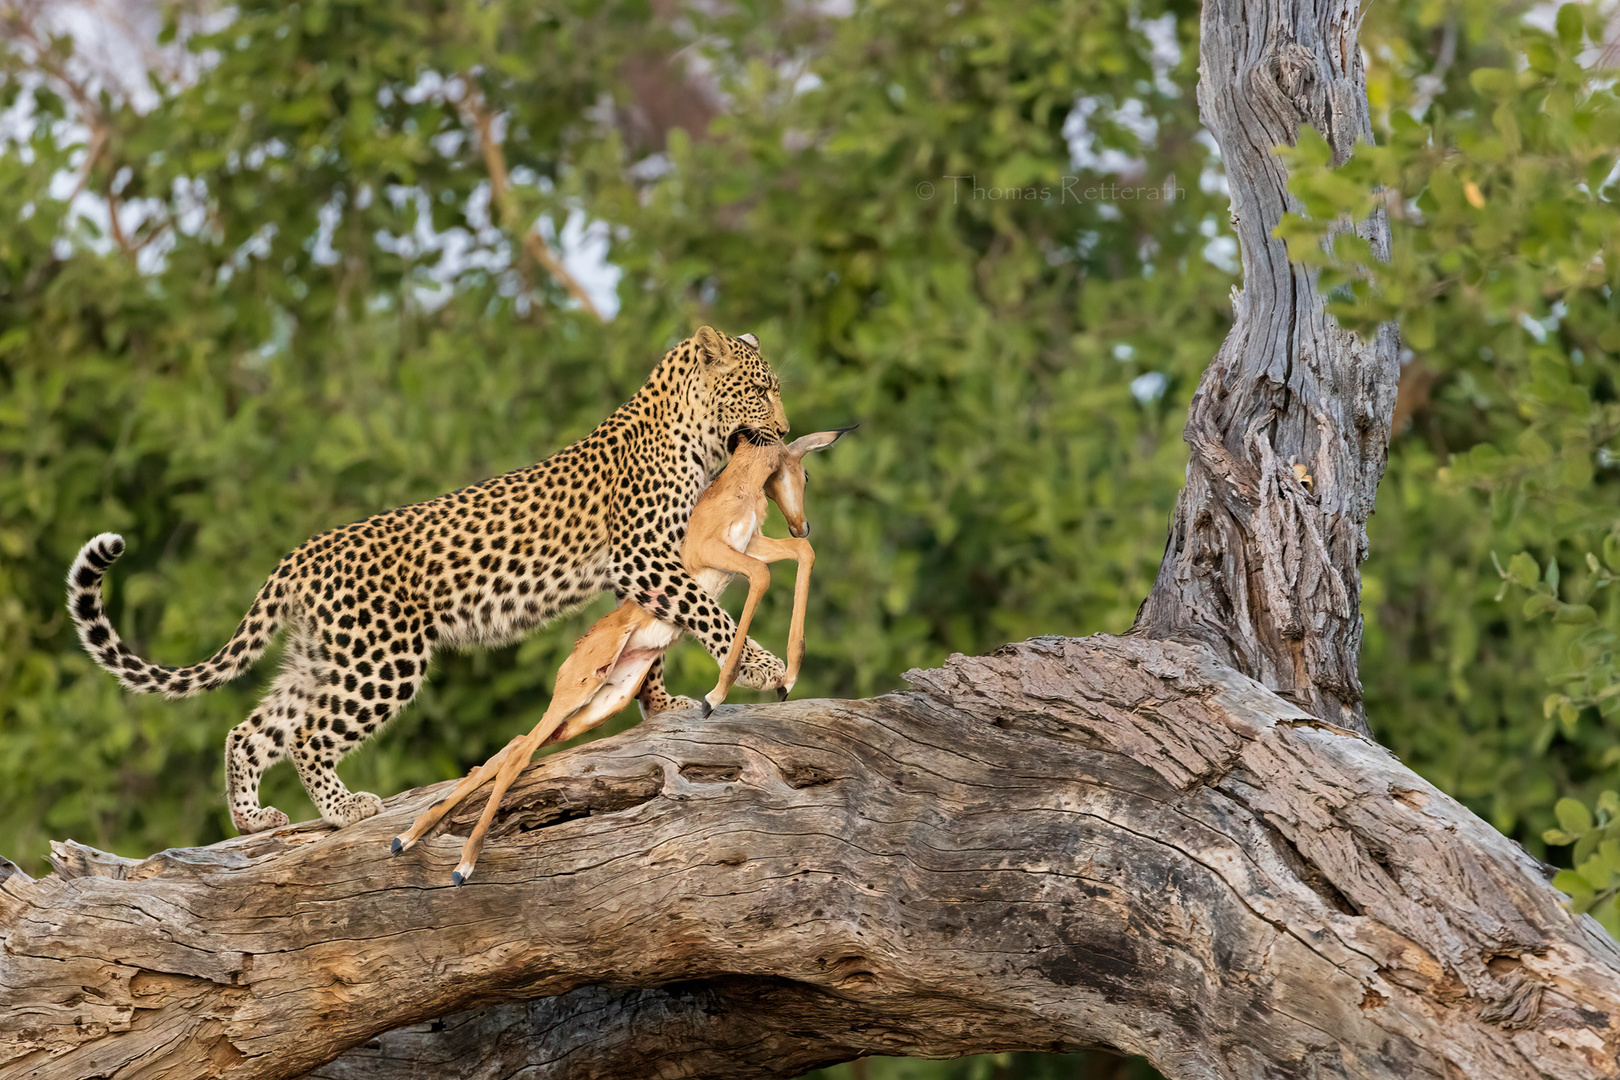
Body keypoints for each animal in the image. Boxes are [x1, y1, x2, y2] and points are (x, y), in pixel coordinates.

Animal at [69, 327, 790, 835]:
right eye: (761, 391)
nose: (785, 429)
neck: (689, 432)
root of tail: (299, 555)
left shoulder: (642, 569)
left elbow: (656, 637)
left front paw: (660, 705)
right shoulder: (643, 555)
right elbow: (703, 613)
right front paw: (762, 667)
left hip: (324, 658)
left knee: (250, 731)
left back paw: (252, 819)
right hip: (381, 661)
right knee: (306, 735)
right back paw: (344, 810)